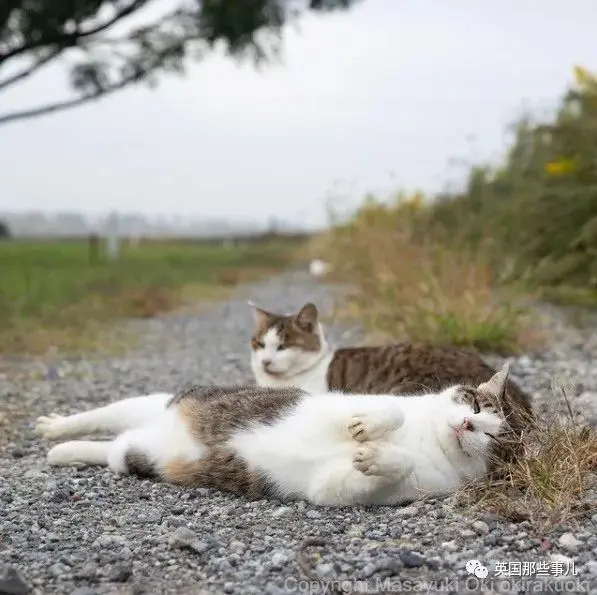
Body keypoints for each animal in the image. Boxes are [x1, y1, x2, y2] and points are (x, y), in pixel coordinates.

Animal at [35, 366, 510, 506]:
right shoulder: (333, 402)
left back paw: (63, 452)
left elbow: (361, 475)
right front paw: (369, 429)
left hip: (133, 453)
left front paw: (377, 456)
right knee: (103, 413)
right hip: (154, 403)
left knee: (111, 450)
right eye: (475, 407)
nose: (467, 426)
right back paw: (55, 428)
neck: (427, 441)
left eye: (496, 441)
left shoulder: (336, 489)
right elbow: (388, 409)